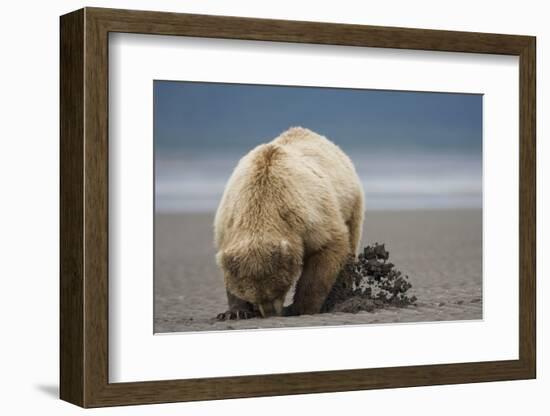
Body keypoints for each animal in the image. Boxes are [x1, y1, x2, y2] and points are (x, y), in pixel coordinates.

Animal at [216, 127, 366, 318]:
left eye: (278, 289)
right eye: (253, 295)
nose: (270, 313)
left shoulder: (306, 217)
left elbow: (327, 248)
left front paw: (300, 308)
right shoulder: (228, 223)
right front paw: (235, 312)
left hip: (350, 203)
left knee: (350, 245)